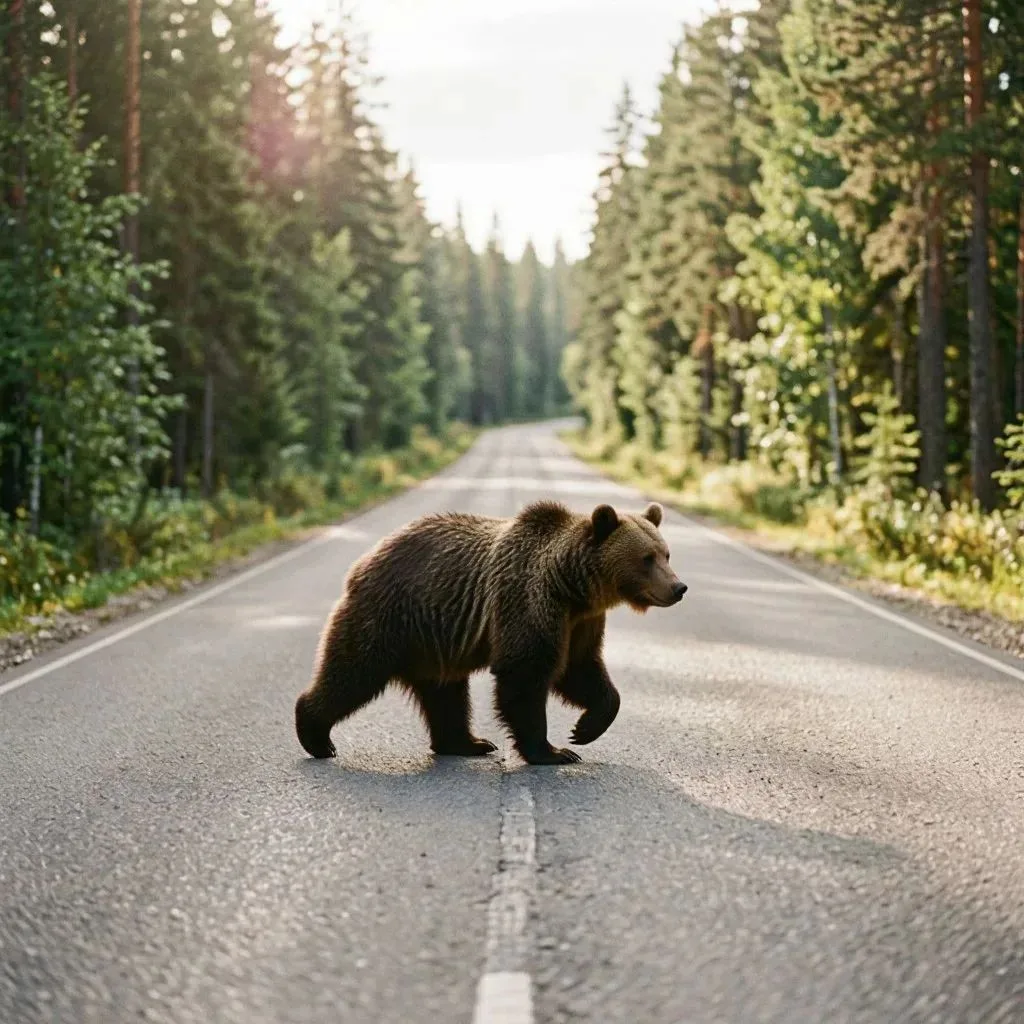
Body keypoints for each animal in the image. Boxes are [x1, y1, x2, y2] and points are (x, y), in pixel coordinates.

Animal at [294, 499, 687, 766]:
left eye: (666, 553)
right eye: (647, 558)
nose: (678, 587)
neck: (573, 586)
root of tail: (364, 560)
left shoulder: (581, 622)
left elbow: (581, 670)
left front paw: (585, 728)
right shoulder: (530, 601)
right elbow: (525, 674)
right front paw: (554, 751)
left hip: (433, 640)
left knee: (445, 693)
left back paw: (467, 743)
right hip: (388, 617)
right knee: (353, 672)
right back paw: (315, 735)